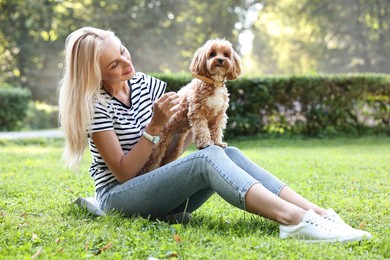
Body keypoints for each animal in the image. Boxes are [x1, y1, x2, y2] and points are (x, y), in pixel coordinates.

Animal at [140, 38, 242, 174]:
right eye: (212, 54)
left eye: (226, 54)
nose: (220, 60)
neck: (213, 83)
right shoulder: (198, 112)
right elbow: (202, 129)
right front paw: (205, 143)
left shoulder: (218, 115)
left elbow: (216, 131)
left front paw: (218, 143)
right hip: (156, 148)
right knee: (150, 165)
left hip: (174, 150)